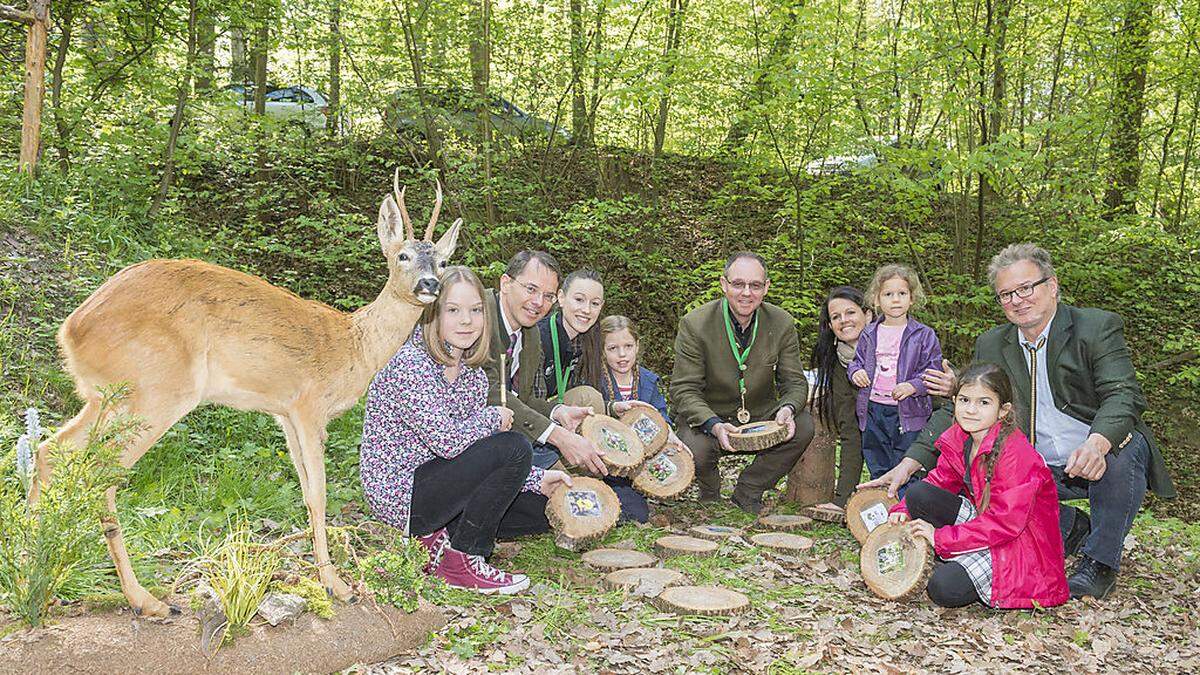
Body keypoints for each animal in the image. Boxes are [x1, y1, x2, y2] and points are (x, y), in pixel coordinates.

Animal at [29, 169, 458, 614]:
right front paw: (336, 585)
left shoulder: (283, 412)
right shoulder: (309, 404)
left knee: (51, 450)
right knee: (102, 473)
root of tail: (71, 330)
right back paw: (145, 600)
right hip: (158, 390)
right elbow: (320, 494)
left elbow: (305, 493)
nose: (430, 284)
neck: (353, 345)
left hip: (106, 398)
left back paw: (35, 578)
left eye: (443, 261)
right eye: (403, 255)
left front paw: (322, 577)